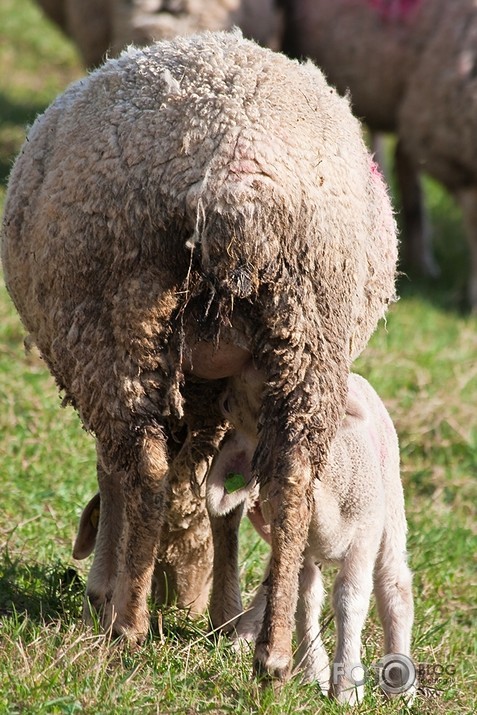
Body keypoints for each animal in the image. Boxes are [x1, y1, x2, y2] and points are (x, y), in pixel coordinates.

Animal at [1, 32, 396, 684]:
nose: (180, 598)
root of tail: (236, 183)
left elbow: (118, 479)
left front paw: (105, 588)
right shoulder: (220, 396)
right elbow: (219, 502)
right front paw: (222, 610)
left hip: (115, 327)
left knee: (145, 469)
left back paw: (129, 627)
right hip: (312, 334)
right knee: (292, 482)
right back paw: (273, 655)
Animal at [206, 370, 414, 704]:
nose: (222, 396)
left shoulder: (363, 539)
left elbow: (350, 599)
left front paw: (347, 689)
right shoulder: (298, 543)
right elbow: (304, 597)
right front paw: (314, 673)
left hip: (391, 499)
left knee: (394, 583)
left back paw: (400, 686)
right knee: (273, 580)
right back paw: (245, 636)